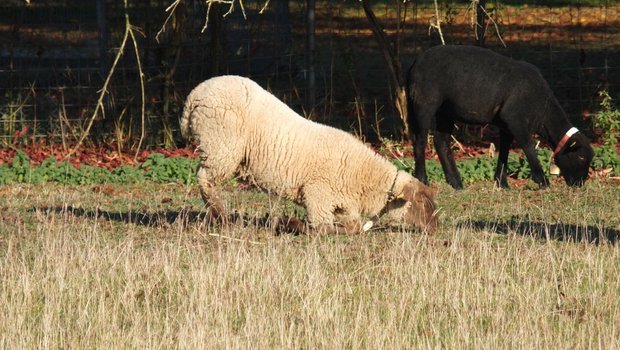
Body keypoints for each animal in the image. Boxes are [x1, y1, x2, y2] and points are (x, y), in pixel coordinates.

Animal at [182, 75, 438, 234]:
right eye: (420, 202)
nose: (436, 227)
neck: (364, 175)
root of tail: (195, 94)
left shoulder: (343, 204)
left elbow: (354, 228)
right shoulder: (318, 195)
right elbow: (321, 228)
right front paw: (290, 224)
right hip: (221, 146)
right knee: (205, 179)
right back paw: (222, 218)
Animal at [404, 45, 592, 191]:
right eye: (581, 157)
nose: (580, 184)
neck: (543, 111)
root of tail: (415, 62)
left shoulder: (506, 124)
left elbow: (505, 150)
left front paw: (502, 183)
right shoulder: (514, 118)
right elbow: (528, 146)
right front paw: (542, 181)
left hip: (446, 110)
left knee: (441, 141)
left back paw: (456, 183)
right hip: (424, 103)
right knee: (420, 140)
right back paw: (422, 179)